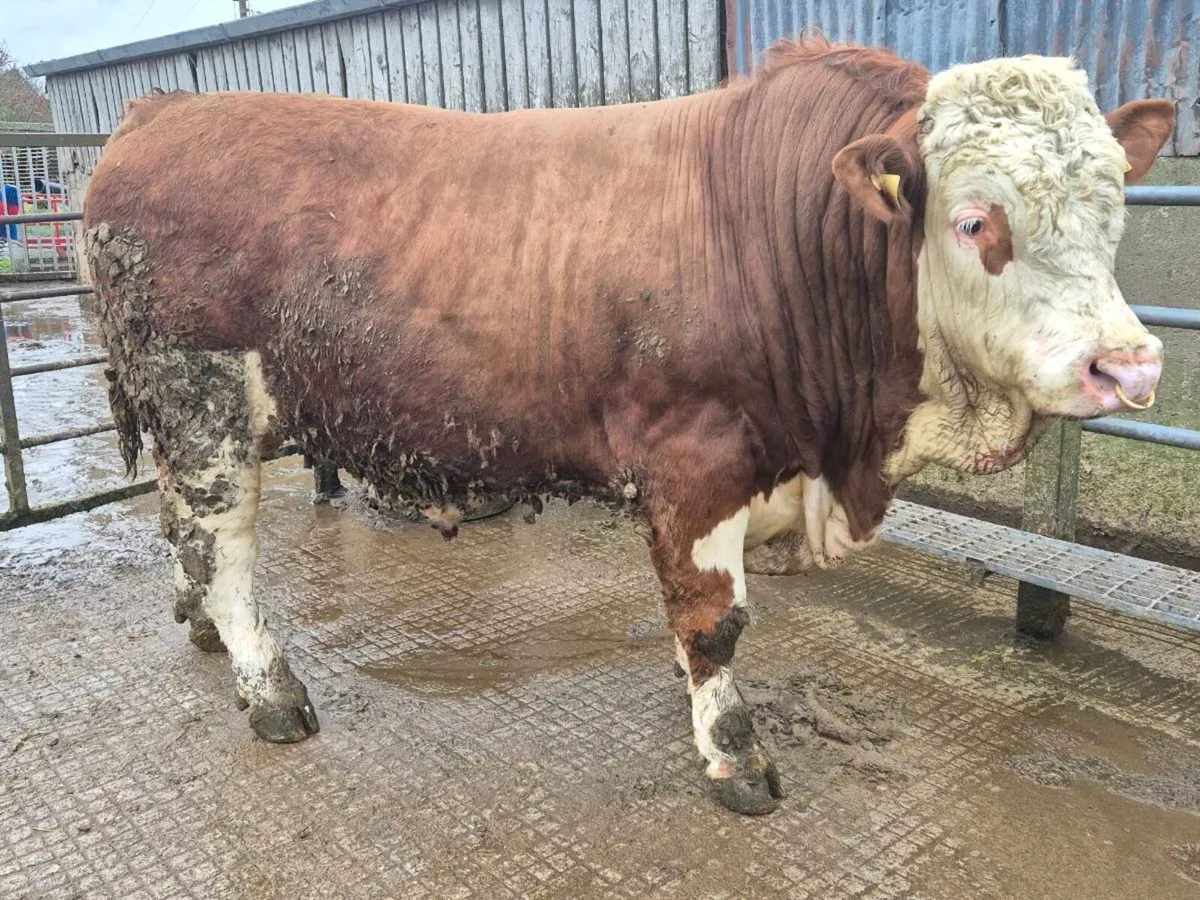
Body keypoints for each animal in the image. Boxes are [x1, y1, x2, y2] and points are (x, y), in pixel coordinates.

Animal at [81, 37, 1173, 815]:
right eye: (976, 220)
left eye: (1116, 207)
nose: (1128, 363)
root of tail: (161, 110)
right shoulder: (699, 461)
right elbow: (714, 620)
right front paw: (735, 758)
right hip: (205, 402)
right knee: (224, 547)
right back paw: (270, 691)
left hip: (189, 418)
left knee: (181, 525)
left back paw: (203, 632)